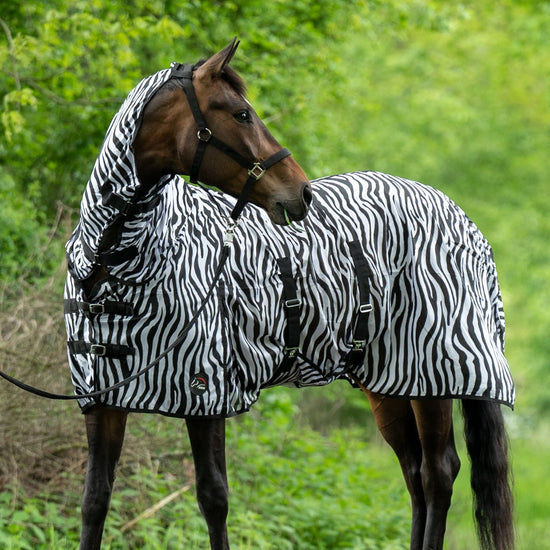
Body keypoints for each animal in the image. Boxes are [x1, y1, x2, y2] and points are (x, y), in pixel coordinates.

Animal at [66, 40, 516, 550]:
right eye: (241, 114)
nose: (301, 192)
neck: (115, 267)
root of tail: (460, 217)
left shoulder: (206, 393)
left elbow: (213, 498)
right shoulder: (101, 400)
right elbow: (95, 500)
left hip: (432, 377)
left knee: (439, 472)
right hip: (389, 384)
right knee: (415, 471)